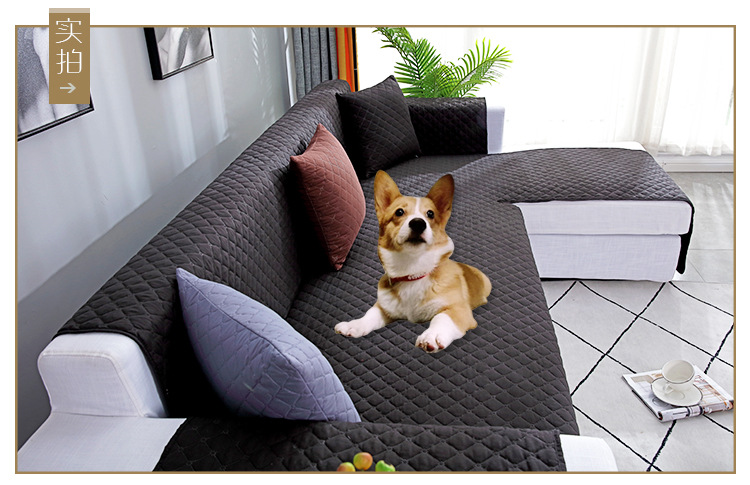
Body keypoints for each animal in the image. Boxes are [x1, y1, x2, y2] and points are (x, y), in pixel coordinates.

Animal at [335, 170, 491, 352]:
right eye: (399, 212)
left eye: (430, 214)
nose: (418, 223)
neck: (413, 271)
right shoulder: (384, 307)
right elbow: (369, 315)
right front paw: (353, 325)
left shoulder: (458, 309)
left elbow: (441, 317)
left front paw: (432, 335)